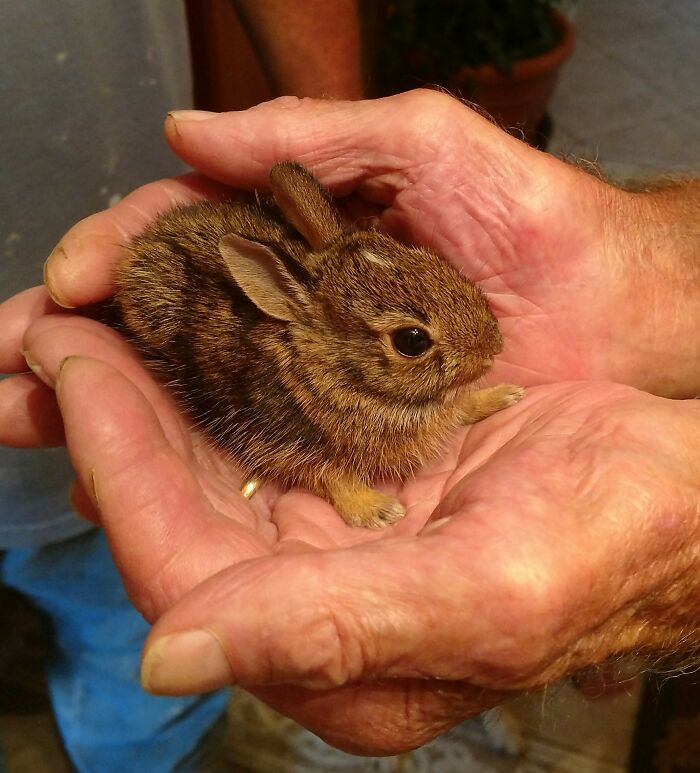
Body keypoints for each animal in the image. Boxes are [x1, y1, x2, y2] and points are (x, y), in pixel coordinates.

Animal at [113, 161, 523, 529]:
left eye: (428, 258)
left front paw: (505, 395)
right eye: (411, 341)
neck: (328, 364)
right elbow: (330, 477)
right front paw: (379, 511)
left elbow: (464, 405)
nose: (493, 347)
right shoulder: (284, 442)